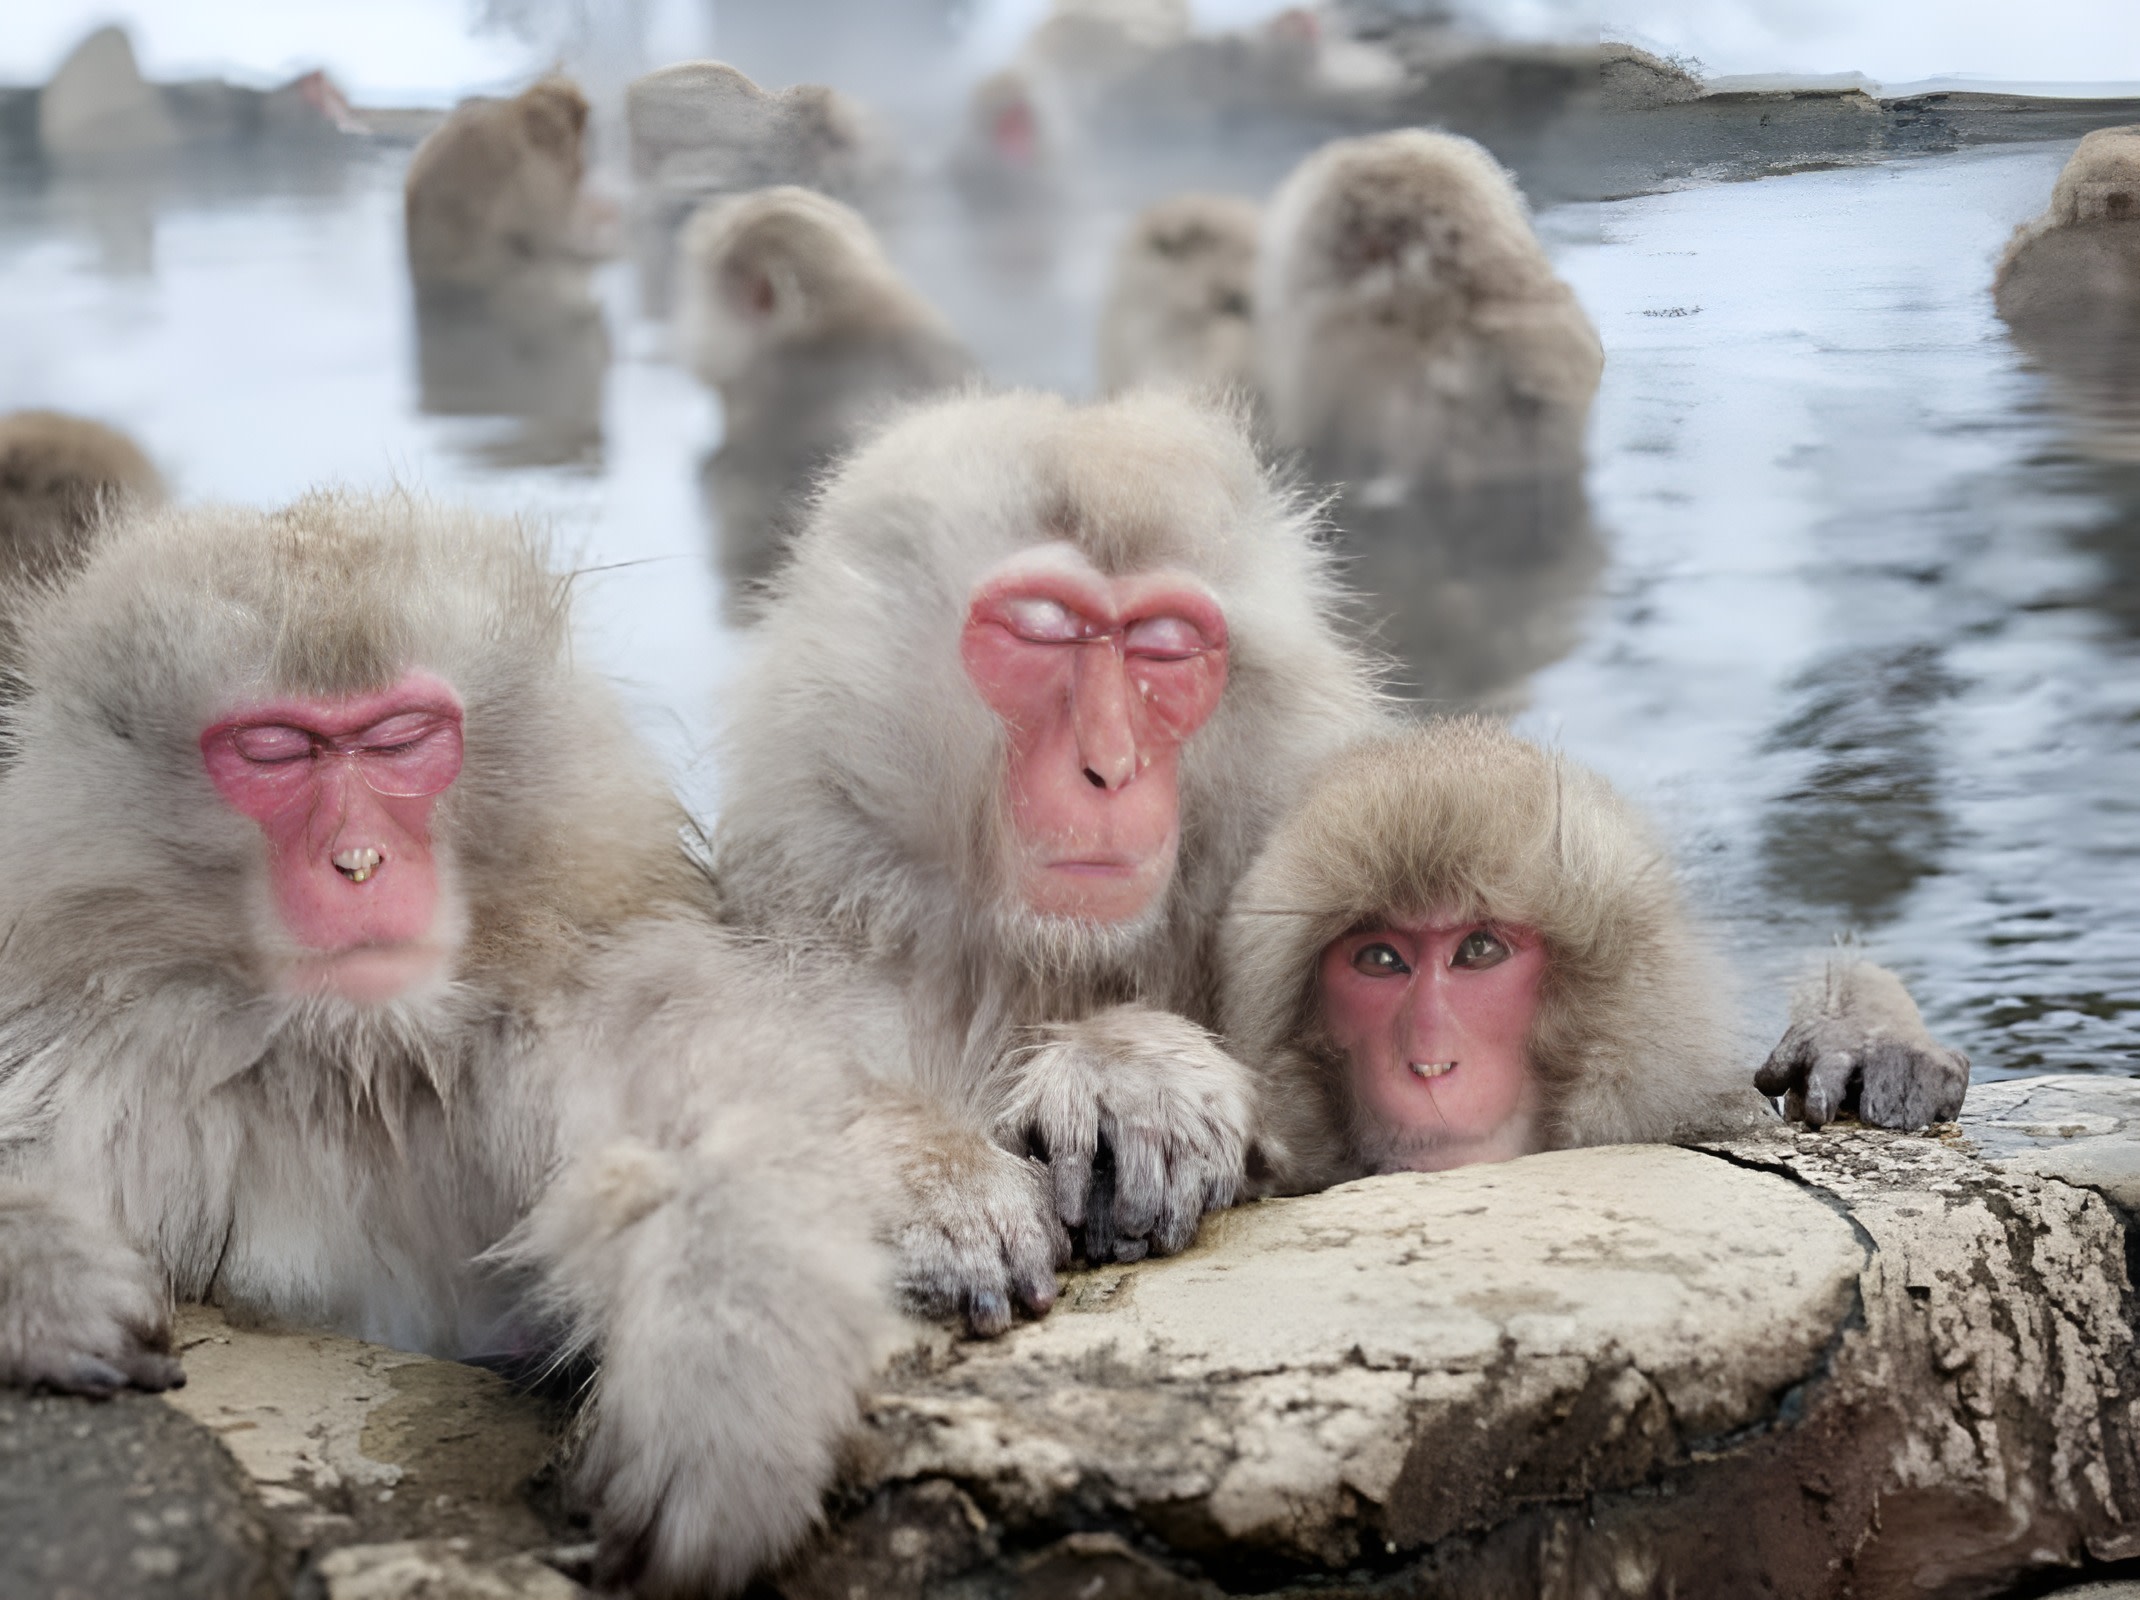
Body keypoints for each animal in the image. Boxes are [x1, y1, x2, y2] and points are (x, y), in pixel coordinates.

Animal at [0, 491, 895, 1595]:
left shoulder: (581, 1003)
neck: (359, 1060)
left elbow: (707, 1133)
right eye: (274, 749)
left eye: (399, 738)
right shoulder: (101, 1047)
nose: (357, 860)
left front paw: (719, 1388)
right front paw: (44, 1276)